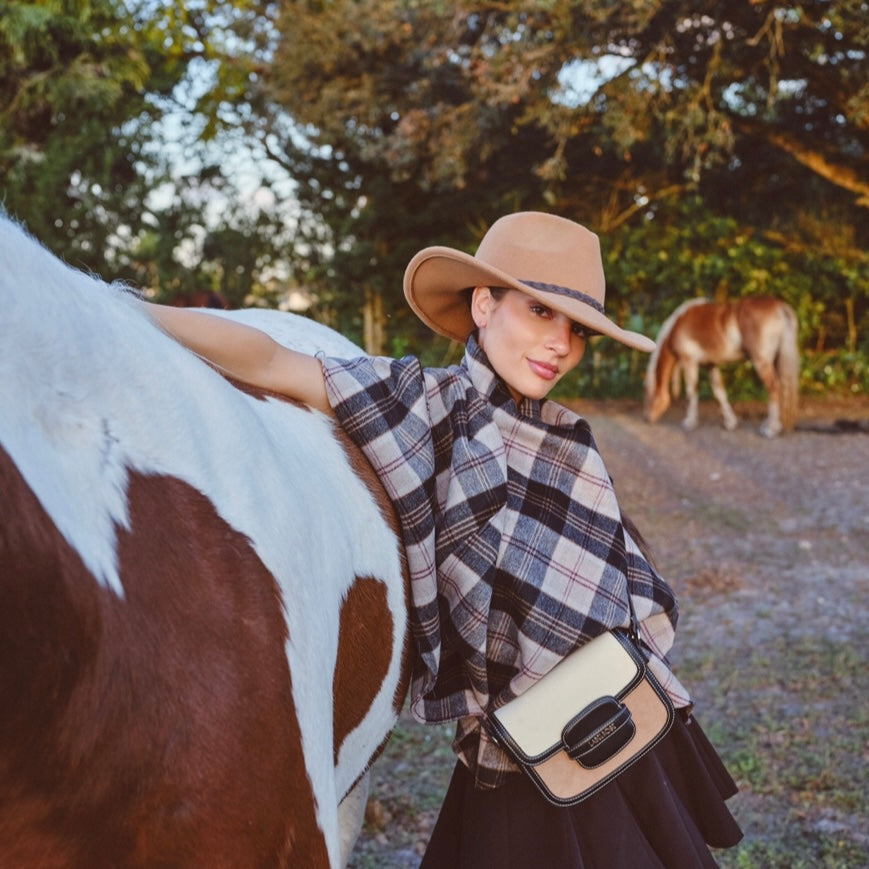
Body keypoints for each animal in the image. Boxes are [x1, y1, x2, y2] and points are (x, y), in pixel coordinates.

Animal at [640, 298, 796, 438]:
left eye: (647, 393)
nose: (647, 418)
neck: (677, 326)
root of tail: (779, 306)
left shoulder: (688, 361)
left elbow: (692, 391)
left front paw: (689, 422)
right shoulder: (711, 365)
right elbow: (719, 392)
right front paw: (730, 422)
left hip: (761, 361)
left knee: (774, 388)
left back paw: (771, 429)